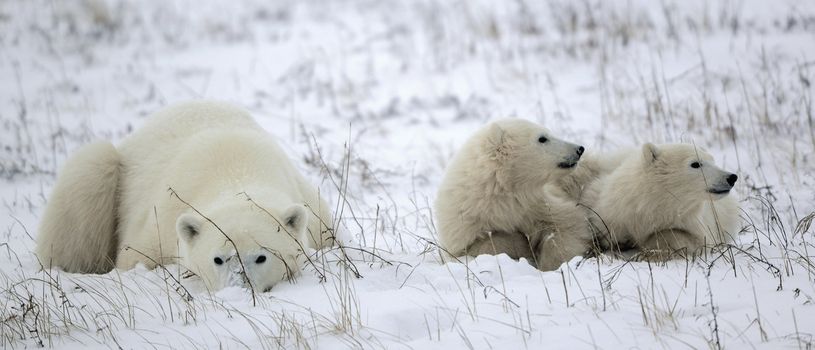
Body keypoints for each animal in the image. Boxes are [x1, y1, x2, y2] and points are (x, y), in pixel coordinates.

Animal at [36, 102, 336, 292]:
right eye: (218, 259)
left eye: (261, 257)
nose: (239, 288)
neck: (236, 170)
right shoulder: (161, 222)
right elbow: (135, 259)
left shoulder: (315, 214)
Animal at [434, 119, 592, 270]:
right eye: (542, 138)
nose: (580, 149)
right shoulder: (464, 222)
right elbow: (479, 246)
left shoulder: (537, 204)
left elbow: (567, 224)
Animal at [584, 142, 744, 258]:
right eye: (696, 163)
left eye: (712, 160)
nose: (731, 177)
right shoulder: (611, 214)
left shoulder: (694, 222)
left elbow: (689, 239)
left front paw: (646, 251)